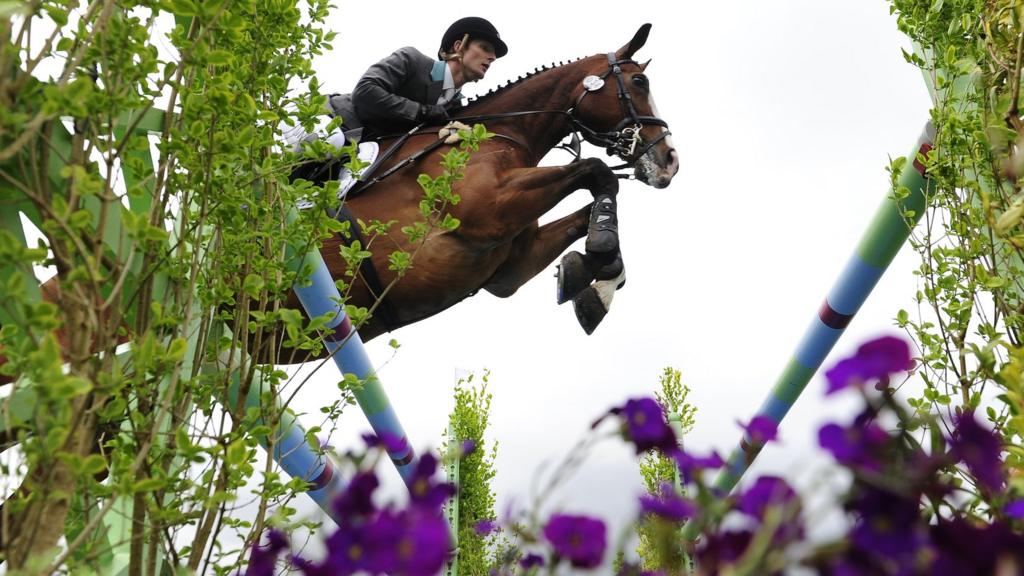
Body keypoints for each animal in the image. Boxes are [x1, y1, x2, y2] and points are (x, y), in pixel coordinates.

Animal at [280, 23, 679, 358]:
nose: (669, 162)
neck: (499, 132)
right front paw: (599, 260)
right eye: (639, 81)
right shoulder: (488, 210)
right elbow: (598, 172)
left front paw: (595, 281)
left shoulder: (513, 266)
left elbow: (593, 207)